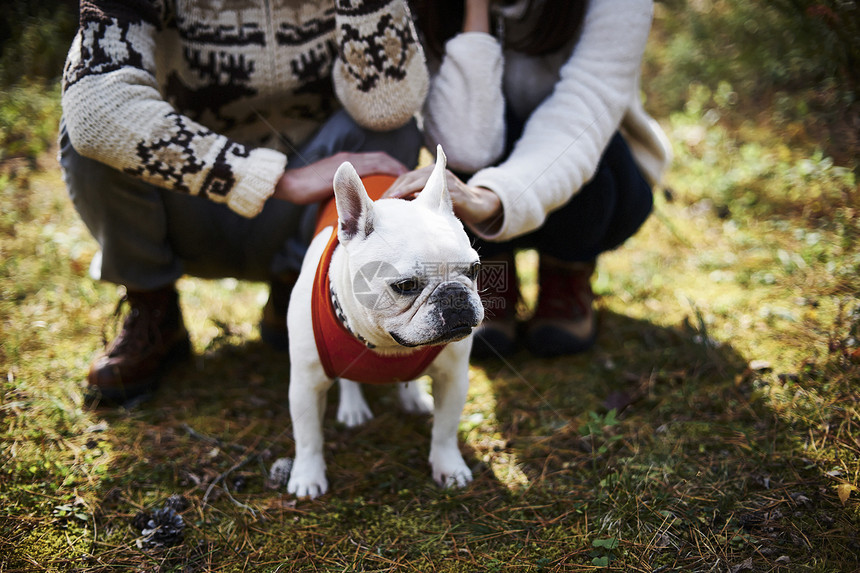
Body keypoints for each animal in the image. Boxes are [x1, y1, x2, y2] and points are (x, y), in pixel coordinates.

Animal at [286, 146, 480, 496]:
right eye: (406, 285)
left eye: (473, 270)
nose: (454, 295)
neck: (386, 344)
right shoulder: (305, 385)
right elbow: (308, 436)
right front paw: (307, 476)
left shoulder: (454, 378)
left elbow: (445, 429)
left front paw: (449, 467)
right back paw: (353, 408)